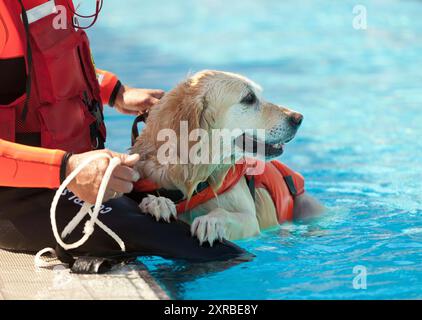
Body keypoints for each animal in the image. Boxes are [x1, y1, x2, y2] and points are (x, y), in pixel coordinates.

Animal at [132, 70, 324, 245]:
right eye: (249, 98)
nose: (298, 118)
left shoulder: (250, 220)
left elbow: (229, 214)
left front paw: (212, 221)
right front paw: (157, 202)